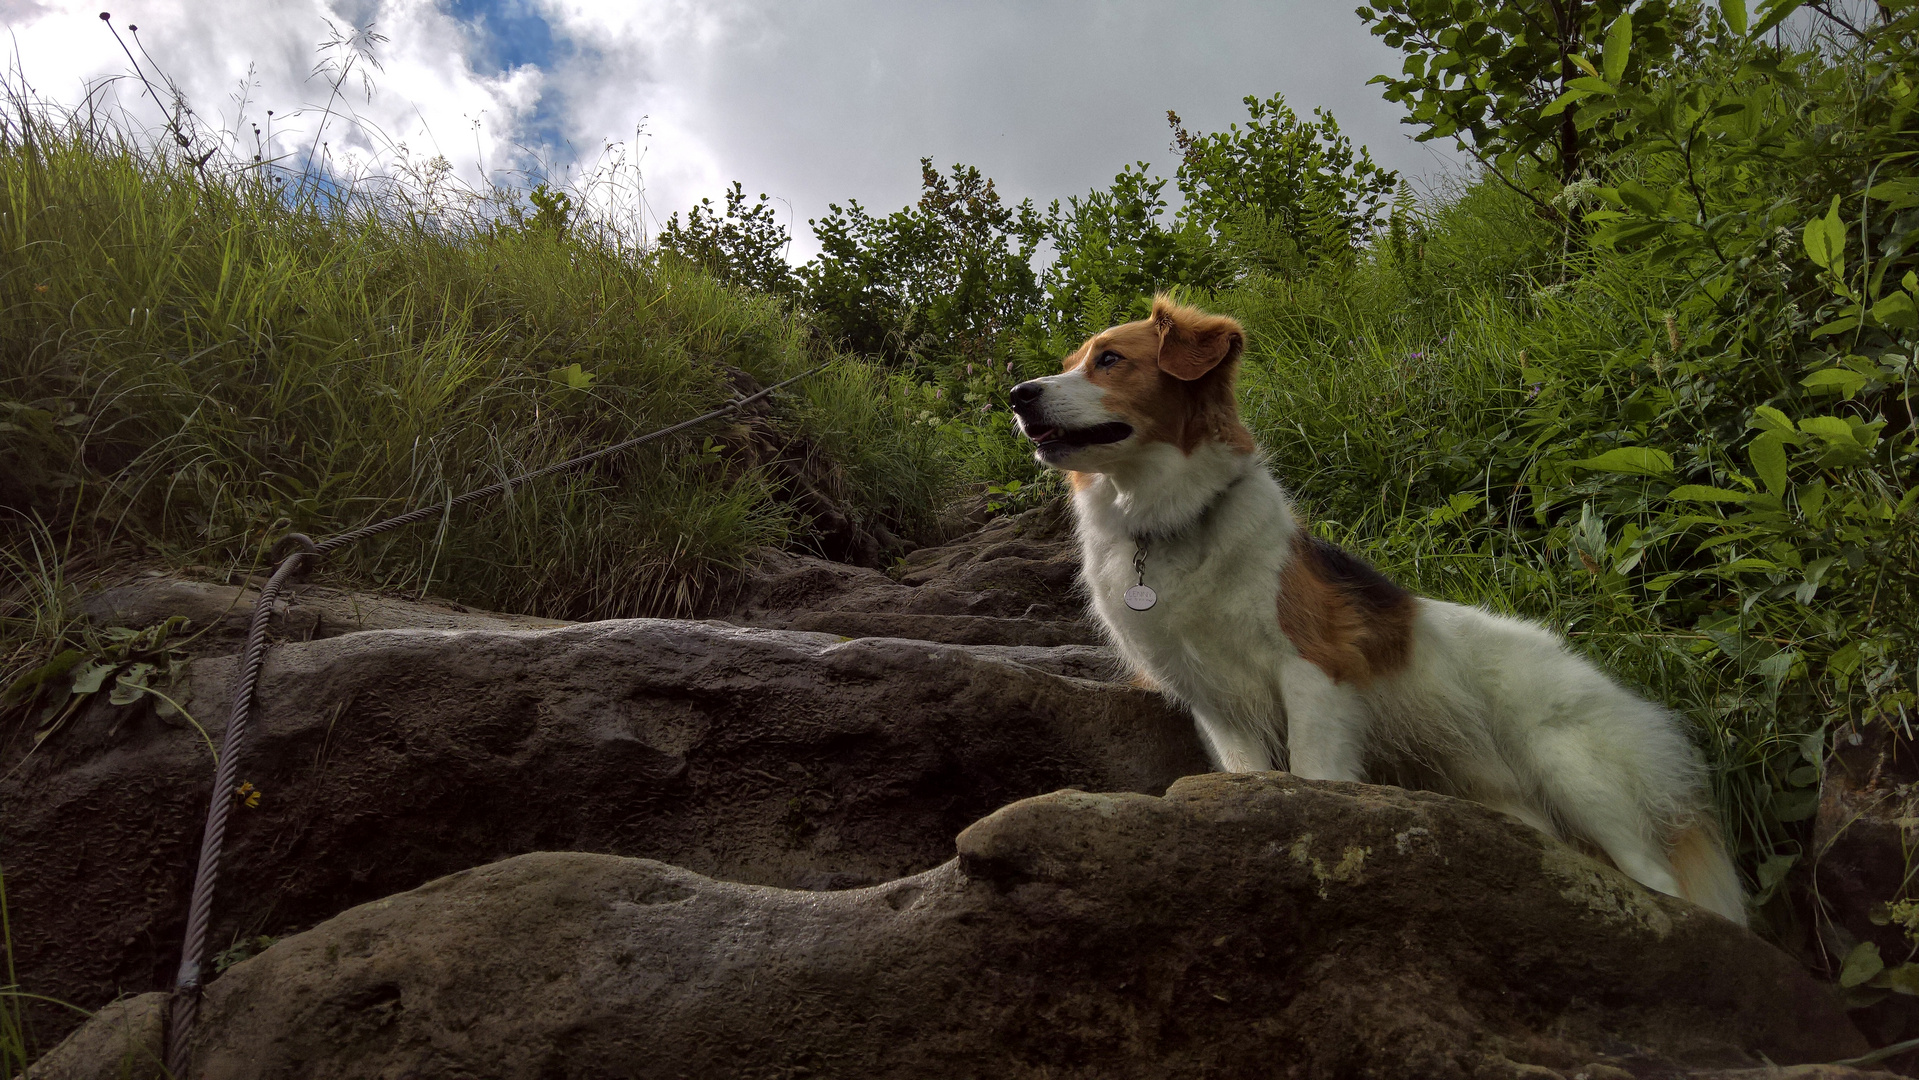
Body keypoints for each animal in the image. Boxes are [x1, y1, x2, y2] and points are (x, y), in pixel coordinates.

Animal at [1013, 295, 1750, 928]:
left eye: (1110, 359)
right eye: (1073, 360)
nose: (1019, 395)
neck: (1167, 523)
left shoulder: (1313, 669)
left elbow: (1314, 769)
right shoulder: (1218, 705)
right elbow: (1250, 767)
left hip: (1572, 767)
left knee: (1654, 877)